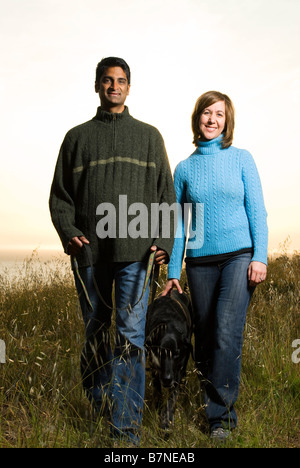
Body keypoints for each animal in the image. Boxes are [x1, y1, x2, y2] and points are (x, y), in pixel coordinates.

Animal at [146, 288, 193, 432]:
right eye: (160, 353)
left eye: (177, 353)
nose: (167, 379)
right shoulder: (154, 368)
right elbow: (157, 391)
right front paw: (158, 410)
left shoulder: (177, 372)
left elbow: (172, 398)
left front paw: (167, 421)